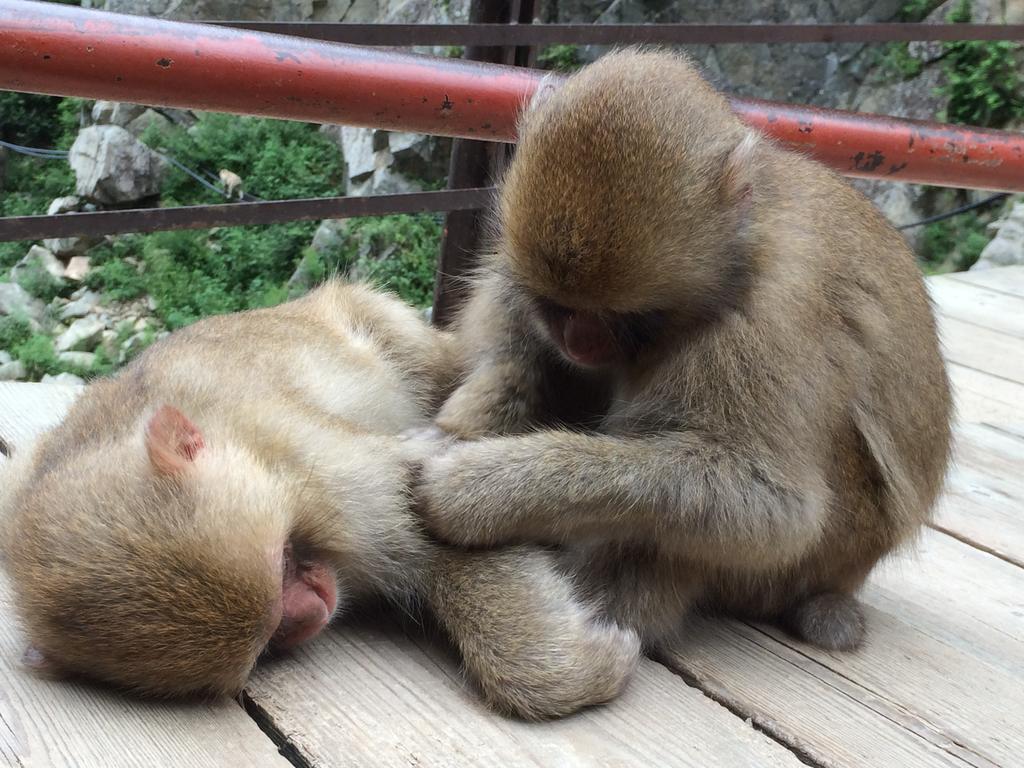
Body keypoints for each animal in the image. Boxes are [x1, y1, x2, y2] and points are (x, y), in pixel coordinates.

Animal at [2, 282, 638, 720]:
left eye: (286, 558)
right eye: (267, 642)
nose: (313, 613)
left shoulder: (324, 471)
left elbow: (439, 521)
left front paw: (572, 672)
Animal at [415, 49, 950, 663]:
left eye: (627, 317)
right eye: (560, 307)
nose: (580, 342)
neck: (737, 256)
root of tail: (848, 579)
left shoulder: (767, 320)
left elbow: (771, 507)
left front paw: (481, 490)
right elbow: (515, 337)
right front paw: (465, 422)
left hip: (814, 562)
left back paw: (613, 608)